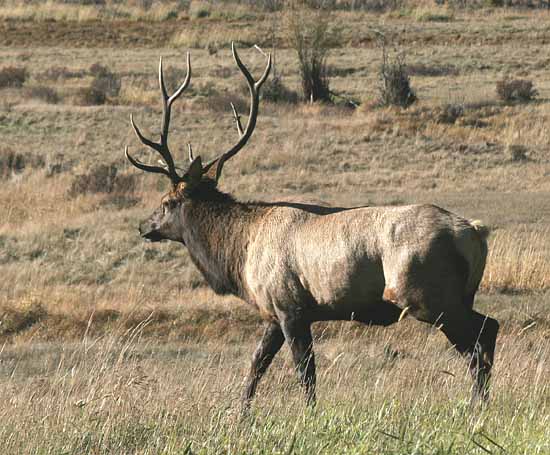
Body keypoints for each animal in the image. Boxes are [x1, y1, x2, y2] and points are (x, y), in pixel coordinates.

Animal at [125, 42, 500, 406]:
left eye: (167, 202)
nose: (143, 226)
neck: (240, 256)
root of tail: (475, 233)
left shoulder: (290, 307)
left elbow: (304, 373)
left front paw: (308, 414)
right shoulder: (274, 315)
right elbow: (256, 365)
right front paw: (241, 413)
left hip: (429, 296)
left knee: (479, 341)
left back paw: (476, 406)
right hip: (458, 296)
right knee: (488, 330)